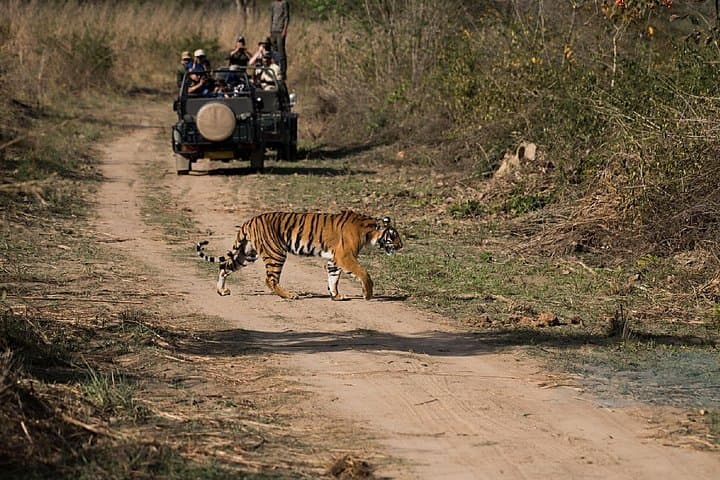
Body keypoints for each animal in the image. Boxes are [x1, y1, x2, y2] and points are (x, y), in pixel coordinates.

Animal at [196, 211, 403, 300]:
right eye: (393, 236)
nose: (401, 246)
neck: (367, 231)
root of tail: (249, 221)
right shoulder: (345, 256)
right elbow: (363, 273)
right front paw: (368, 294)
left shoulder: (334, 259)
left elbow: (333, 278)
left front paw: (336, 295)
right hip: (276, 253)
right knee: (270, 279)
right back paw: (289, 295)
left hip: (247, 254)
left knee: (224, 266)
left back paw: (222, 291)